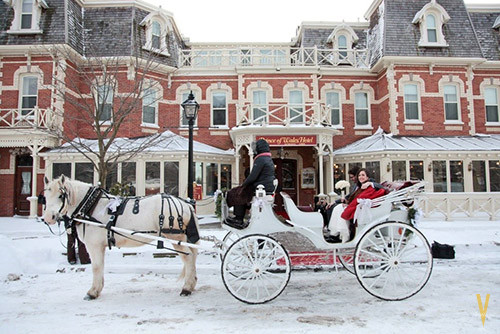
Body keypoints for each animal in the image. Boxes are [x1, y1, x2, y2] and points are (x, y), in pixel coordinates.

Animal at [42, 175, 199, 300]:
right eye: (45, 197)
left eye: (61, 196)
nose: (48, 218)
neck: (91, 206)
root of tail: (186, 204)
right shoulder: (99, 246)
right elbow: (100, 267)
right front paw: (98, 289)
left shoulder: (94, 246)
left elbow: (96, 267)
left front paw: (93, 292)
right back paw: (191, 284)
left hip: (176, 237)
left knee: (189, 258)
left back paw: (187, 288)